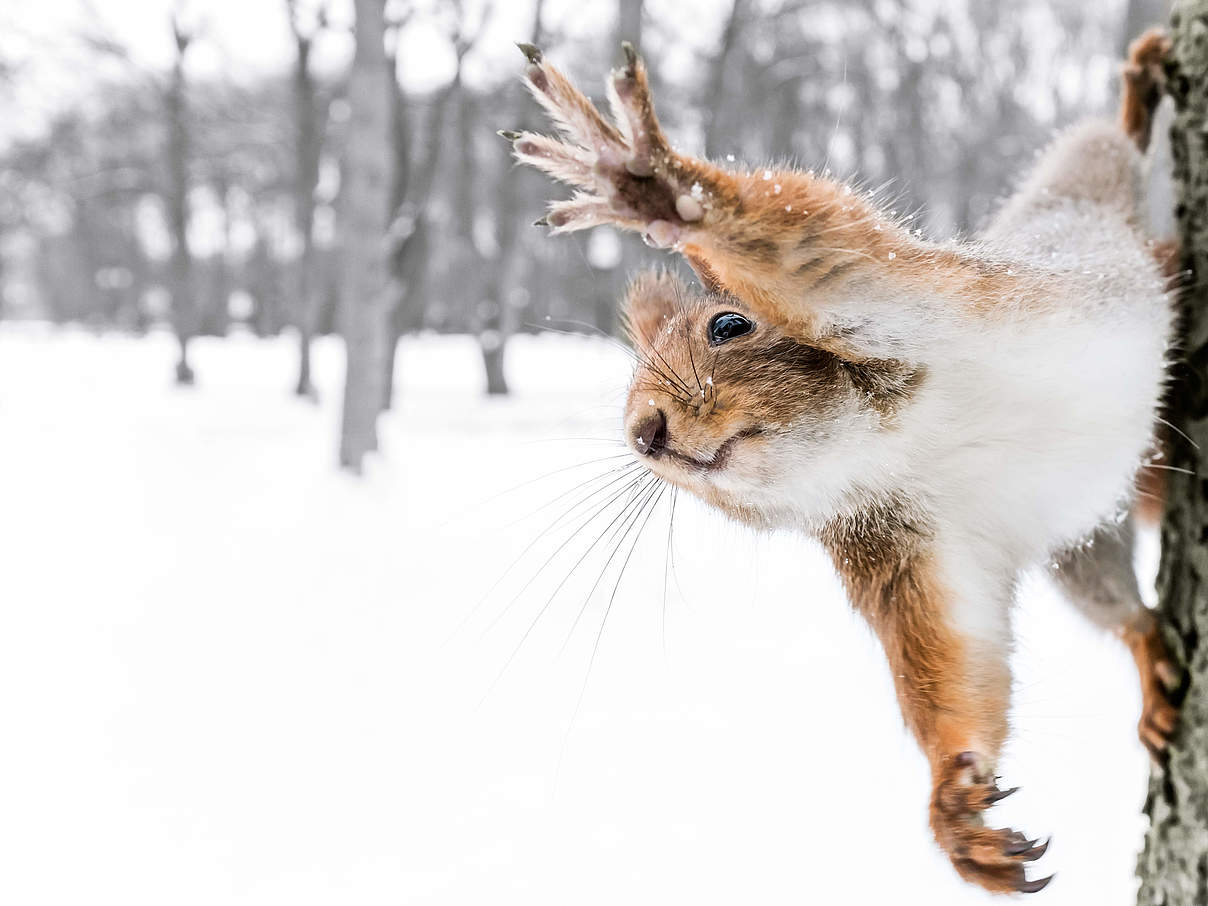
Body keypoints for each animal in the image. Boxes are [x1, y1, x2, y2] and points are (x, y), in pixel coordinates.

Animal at [504, 26, 1183, 893]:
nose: (643, 433)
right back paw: (1150, 660)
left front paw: (648, 183)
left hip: (1080, 200)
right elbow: (953, 667)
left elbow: (814, 245)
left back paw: (1137, 104)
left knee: (1109, 155)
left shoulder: (902, 304)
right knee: (1121, 606)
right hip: (1086, 542)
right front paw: (955, 808)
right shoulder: (910, 558)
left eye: (730, 325)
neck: (876, 446)